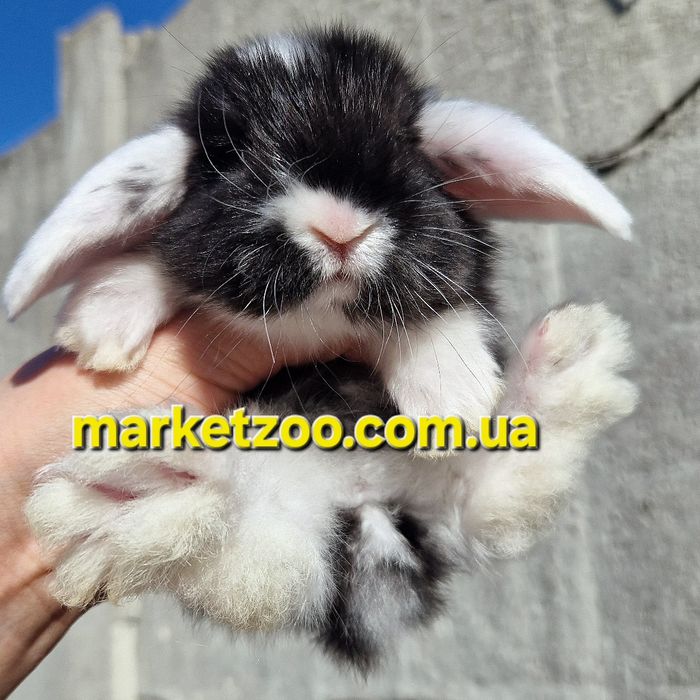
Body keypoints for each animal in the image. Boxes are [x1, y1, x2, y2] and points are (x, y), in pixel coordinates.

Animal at [3, 27, 637, 670]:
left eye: (405, 138)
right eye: (224, 153)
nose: (340, 228)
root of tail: (365, 500)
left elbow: (438, 310)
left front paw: (452, 397)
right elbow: (160, 265)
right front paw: (104, 317)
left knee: (482, 498)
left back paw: (563, 375)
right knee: (248, 547)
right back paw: (140, 496)